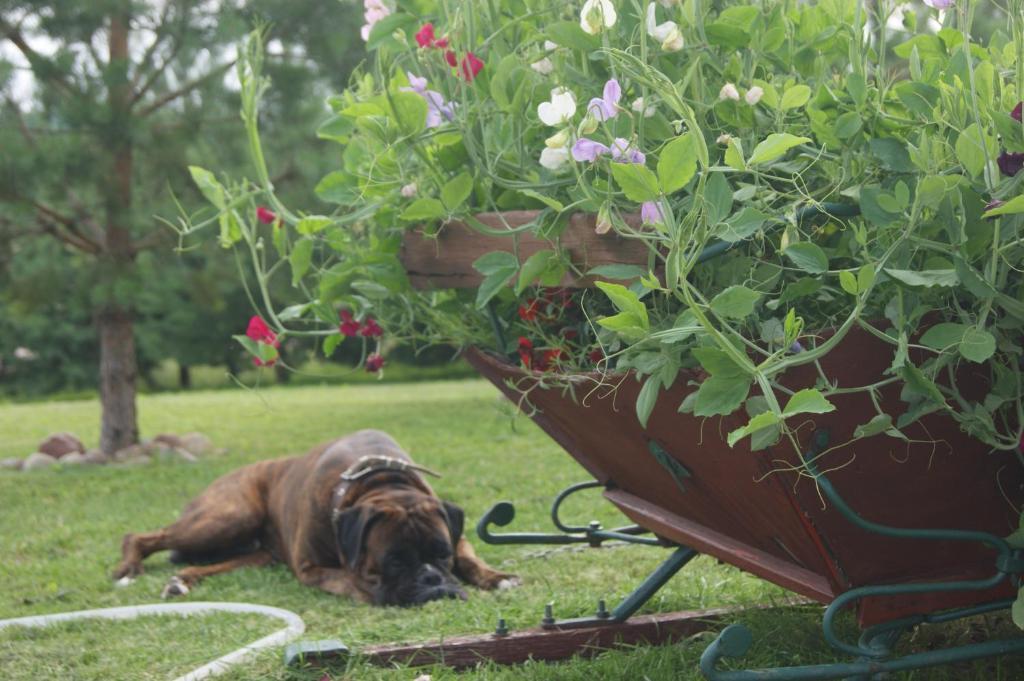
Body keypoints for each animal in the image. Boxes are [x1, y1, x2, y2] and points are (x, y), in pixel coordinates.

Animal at [113, 430, 520, 606]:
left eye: (441, 555)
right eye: (393, 561)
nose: (432, 578)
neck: (377, 482)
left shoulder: (455, 531)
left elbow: (470, 557)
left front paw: (498, 577)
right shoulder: (311, 568)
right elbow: (351, 579)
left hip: (255, 554)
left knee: (198, 565)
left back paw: (180, 582)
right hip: (227, 518)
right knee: (141, 536)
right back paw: (128, 569)